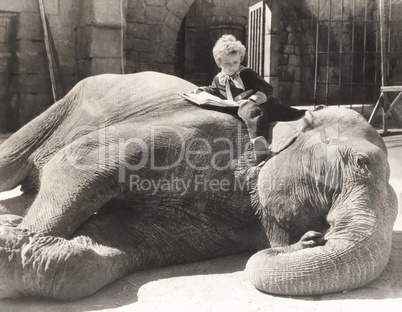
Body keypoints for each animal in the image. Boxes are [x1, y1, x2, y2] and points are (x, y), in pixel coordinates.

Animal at [0, 70, 398, 300]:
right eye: (361, 163)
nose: (314, 238)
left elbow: (114, 244)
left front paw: (17, 235)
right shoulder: (194, 133)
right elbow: (79, 163)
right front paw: (13, 235)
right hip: (67, 105)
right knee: (11, 162)